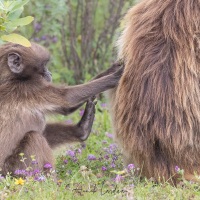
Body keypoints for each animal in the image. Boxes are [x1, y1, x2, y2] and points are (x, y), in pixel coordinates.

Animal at [0, 42, 123, 175]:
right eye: (44, 65)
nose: (50, 74)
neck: (12, 78)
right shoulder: (30, 88)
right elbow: (67, 99)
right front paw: (116, 75)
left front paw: (113, 68)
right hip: (13, 169)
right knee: (34, 137)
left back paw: (82, 130)